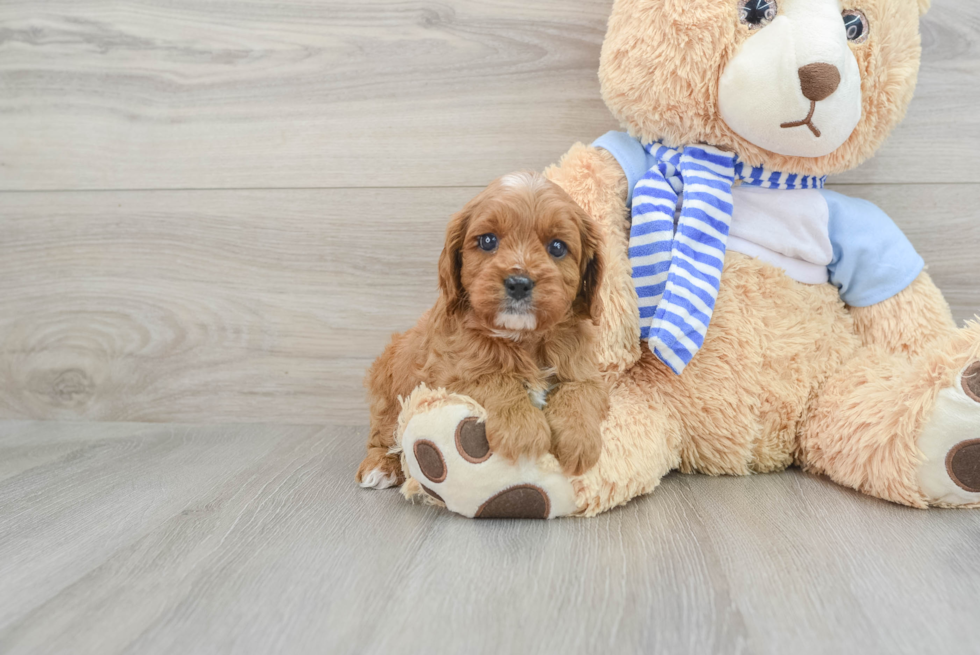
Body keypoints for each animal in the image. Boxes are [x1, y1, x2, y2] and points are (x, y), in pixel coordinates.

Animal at [356, 172, 608, 490]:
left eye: (558, 247)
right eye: (488, 241)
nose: (519, 283)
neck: (522, 338)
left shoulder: (586, 370)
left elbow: (578, 392)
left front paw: (579, 439)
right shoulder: (451, 374)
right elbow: (495, 378)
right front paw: (523, 431)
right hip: (388, 395)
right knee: (384, 434)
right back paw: (381, 465)